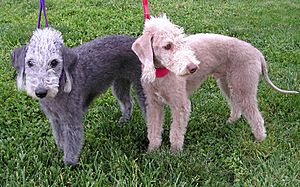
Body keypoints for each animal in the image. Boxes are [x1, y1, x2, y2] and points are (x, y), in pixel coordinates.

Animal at [12, 27, 146, 165]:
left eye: (54, 62)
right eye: (30, 63)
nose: (40, 92)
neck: (60, 88)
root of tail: (135, 41)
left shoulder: (71, 119)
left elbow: (72, 142)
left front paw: (68, 163)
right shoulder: (54, 118)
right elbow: (59, 137)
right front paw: (60, 150)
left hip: (142, 87)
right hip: (120, 83)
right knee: (128, 102)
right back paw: (124, 120)